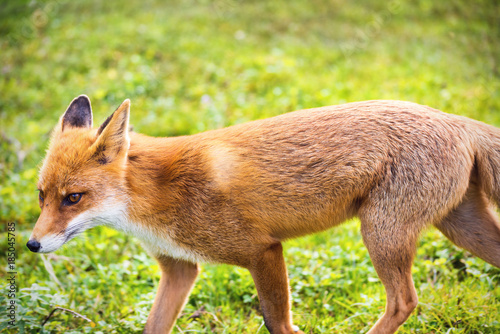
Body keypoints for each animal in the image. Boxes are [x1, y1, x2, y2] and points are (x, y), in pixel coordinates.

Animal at [27, 94, 500, 334]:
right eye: (41, 196)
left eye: (73, 198)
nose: (32, 244)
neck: (159, 194)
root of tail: (457, 120)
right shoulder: (180, 269)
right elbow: (154, 327)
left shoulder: (262, 251)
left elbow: (278, 324)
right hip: (461, 228)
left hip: (381, 233)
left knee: (404, 301)